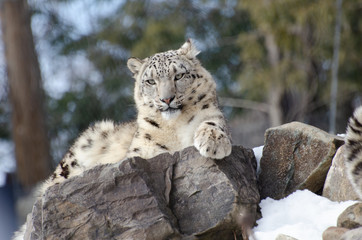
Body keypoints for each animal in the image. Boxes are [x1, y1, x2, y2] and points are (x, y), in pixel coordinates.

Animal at [12, 39, 232, 238]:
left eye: (179, 76)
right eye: (150, 81)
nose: (166, 99)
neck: (174, 127)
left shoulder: (212, 116)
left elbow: (212, 124)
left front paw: (213, 143)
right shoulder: (142, 151)